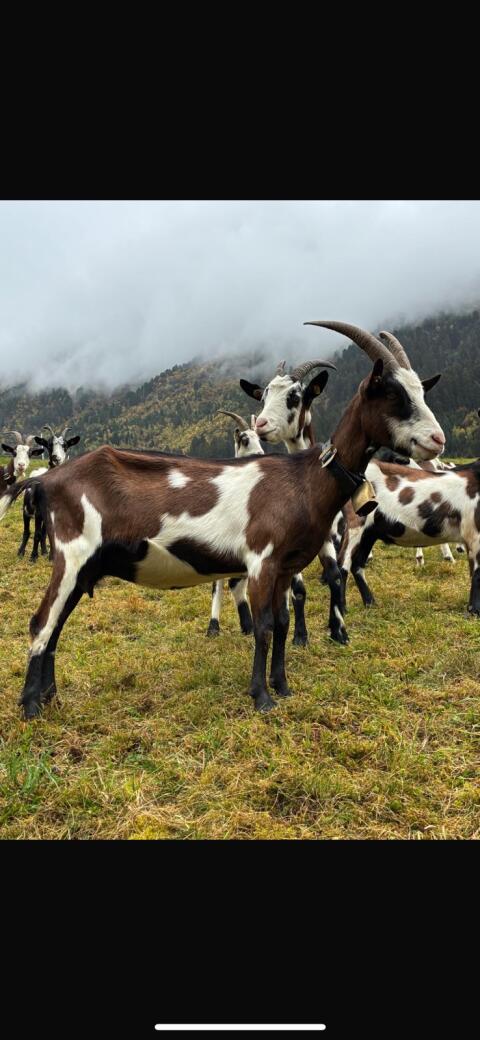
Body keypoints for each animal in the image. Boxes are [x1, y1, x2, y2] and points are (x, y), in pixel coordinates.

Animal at [0, 320, 446, 720]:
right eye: (390, 391)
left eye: (421, 389)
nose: (437, 440)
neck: (304, 477)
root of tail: (46, 480)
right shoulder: (261, 561)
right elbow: (263, 626)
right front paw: (261, 698)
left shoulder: (284, 567)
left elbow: (283, 621)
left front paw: (282, 687)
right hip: (71, 555)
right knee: (42, 623)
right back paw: (31, 708)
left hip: (84, 567)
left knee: (57, 625)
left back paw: (51, 699)